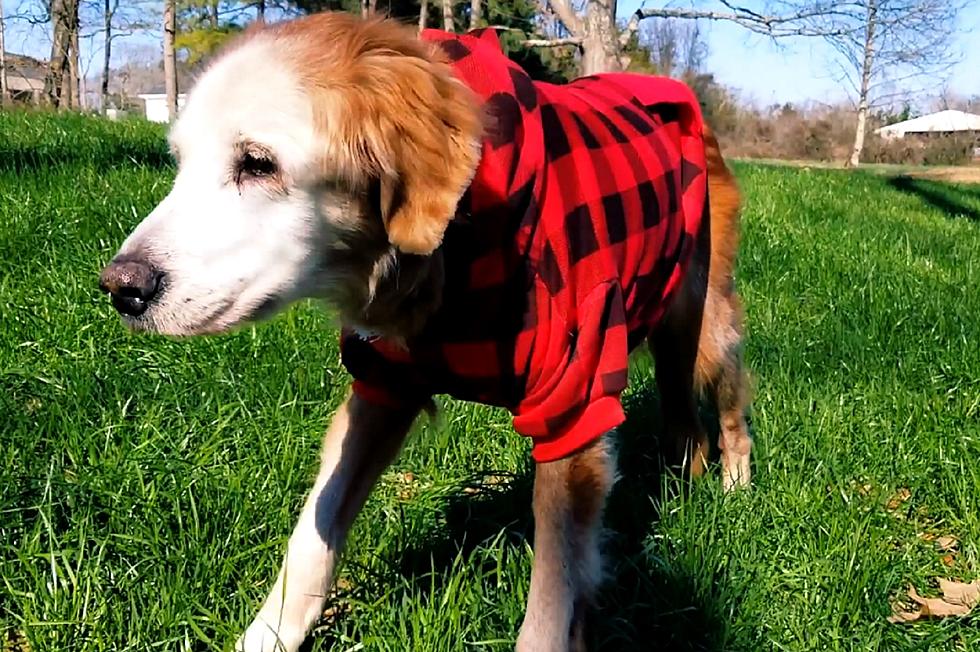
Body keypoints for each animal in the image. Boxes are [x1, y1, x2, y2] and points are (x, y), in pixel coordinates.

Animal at [97, 11, 752, 652]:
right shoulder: (381, 388)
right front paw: (267, 636)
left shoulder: (572, 410)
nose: (119, 287)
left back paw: (735, 492)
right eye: (180, 162)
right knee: (686, 426)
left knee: (730, 411)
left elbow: (551, 604)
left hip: (702, 327)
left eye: (258, 163)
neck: (453, 253)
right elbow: (314, 531)